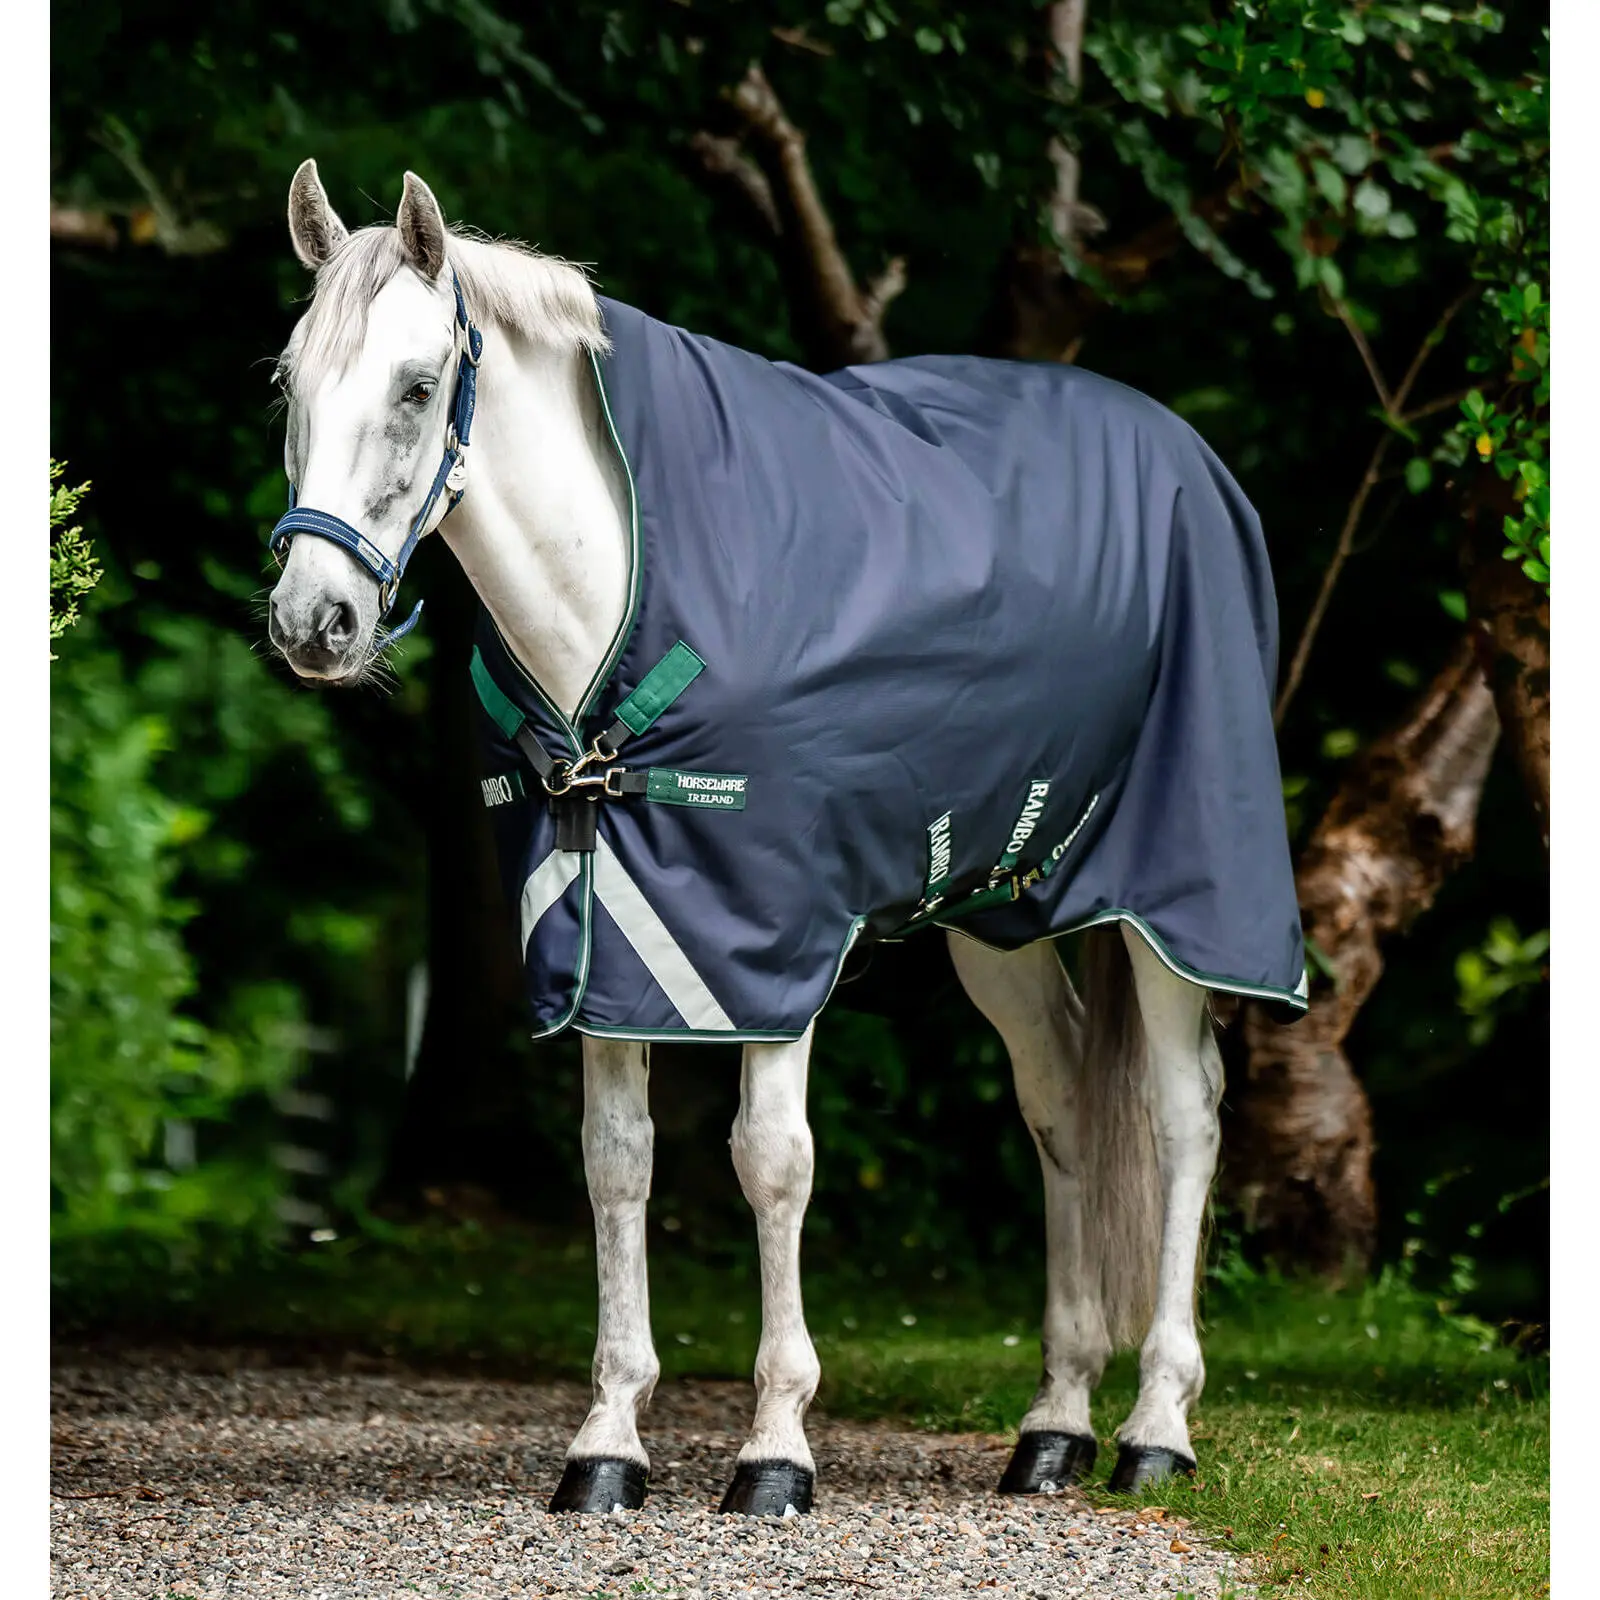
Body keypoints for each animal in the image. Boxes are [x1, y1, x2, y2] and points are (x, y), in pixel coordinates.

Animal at [264, 161, 1307, 1517]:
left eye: (416, 386)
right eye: (290, 382)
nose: (314, 622)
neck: (622, 593)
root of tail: (1190, 455)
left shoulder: (773, 940)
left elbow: (770, 1159)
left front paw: (773, 1448)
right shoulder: (607, 936)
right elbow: (616, 1162)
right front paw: (606, 1444)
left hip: (1174, 901)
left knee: (1184, 1115)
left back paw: (1155, 1427)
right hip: (1002, 912)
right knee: (1065, 1105)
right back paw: (1054, 1426)